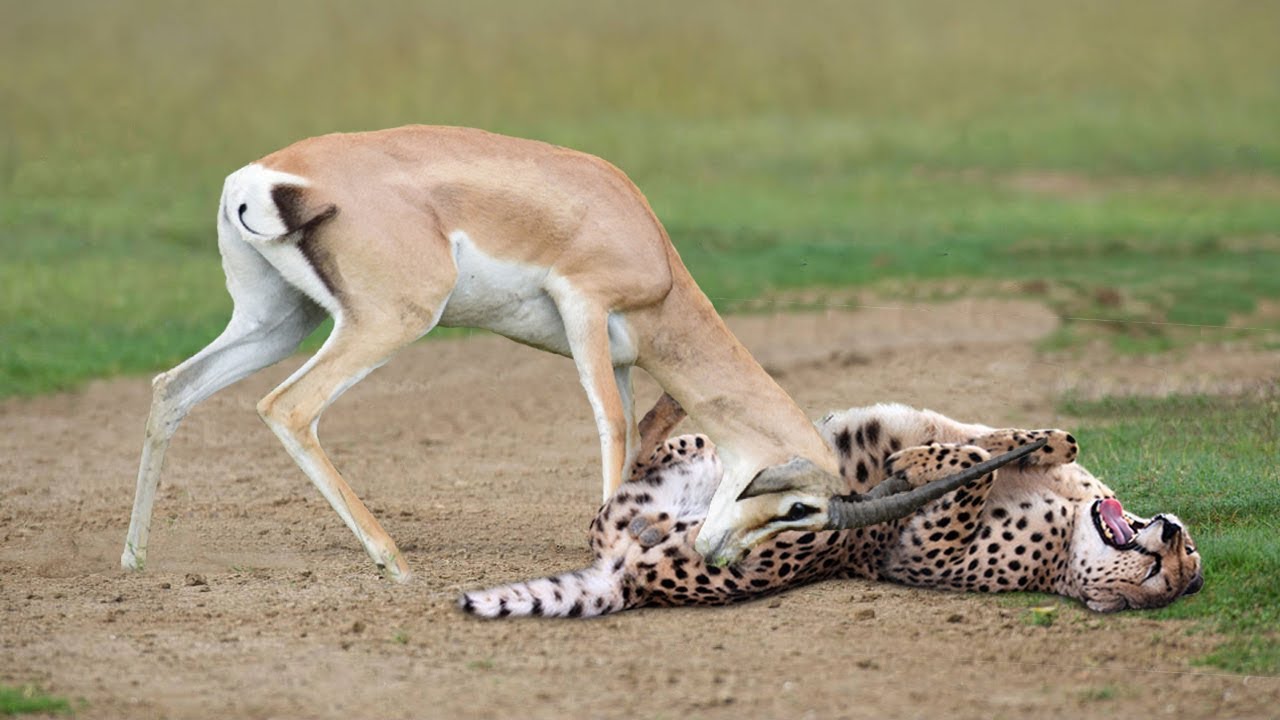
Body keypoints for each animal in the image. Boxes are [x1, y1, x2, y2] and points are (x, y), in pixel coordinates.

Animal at [121, 125, 960, 581]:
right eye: (798, 508)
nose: (720, 556)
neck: (647, 248)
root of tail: (266, 176)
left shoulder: (619, 357)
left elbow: (638, 436)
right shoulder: (585, 309)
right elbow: (613, 429)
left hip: (277, 320)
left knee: (171, 388)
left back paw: (133, 561)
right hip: (391, 320)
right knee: (288, 407)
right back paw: (394, 561)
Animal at [460, 402, 1202, 618]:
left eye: (1166, 577)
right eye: (1187, 556)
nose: (1172, 533)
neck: (1075, 522)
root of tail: (628, 569)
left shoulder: (921, 551)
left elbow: (962, 467)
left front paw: (913, 464)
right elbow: (1031, 440)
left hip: (757, 535)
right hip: (668, 479)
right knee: (655, 446)